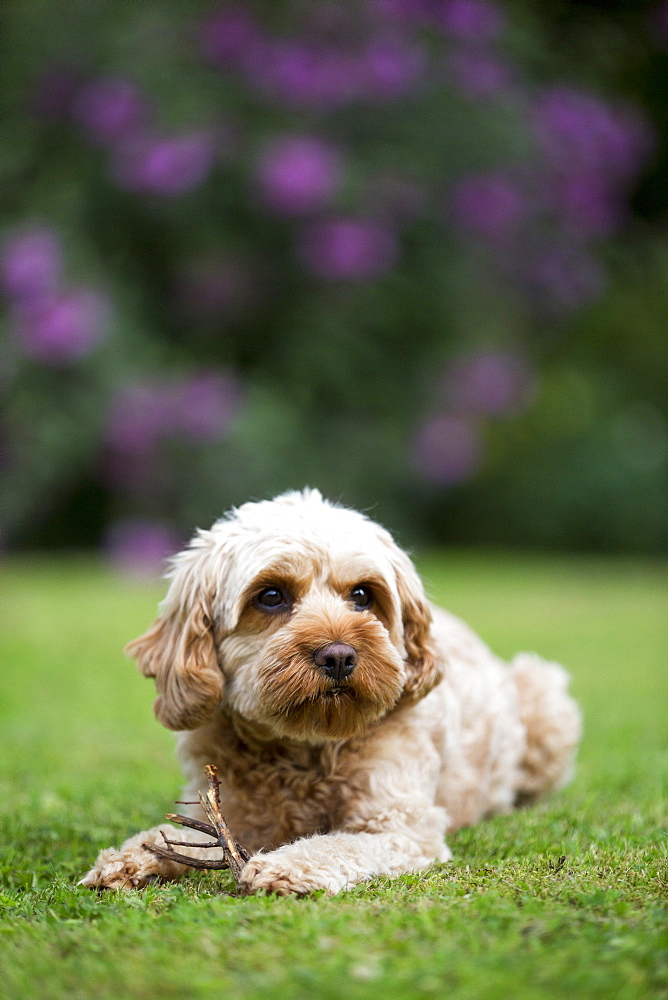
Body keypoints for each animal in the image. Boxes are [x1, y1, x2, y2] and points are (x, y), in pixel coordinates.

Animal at [79, 488, 580, 896]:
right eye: (271, 596)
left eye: (362, 595)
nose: (338, 655)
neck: (308, 747)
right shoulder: (230, 811)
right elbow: (185, 838)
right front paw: (130, 857)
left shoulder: (400, 828)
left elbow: (336, 845)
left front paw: (284, 866)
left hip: (546, 698)